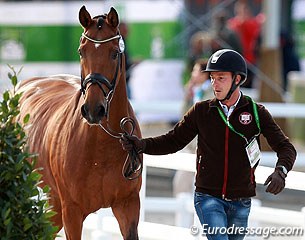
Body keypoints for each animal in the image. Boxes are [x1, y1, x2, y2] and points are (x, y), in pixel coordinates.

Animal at [15, 6, 141, 240]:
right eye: (82, 52)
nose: (93, 110)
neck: (100, 146)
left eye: (114, 53)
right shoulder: (72, 211)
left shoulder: (127, 204)